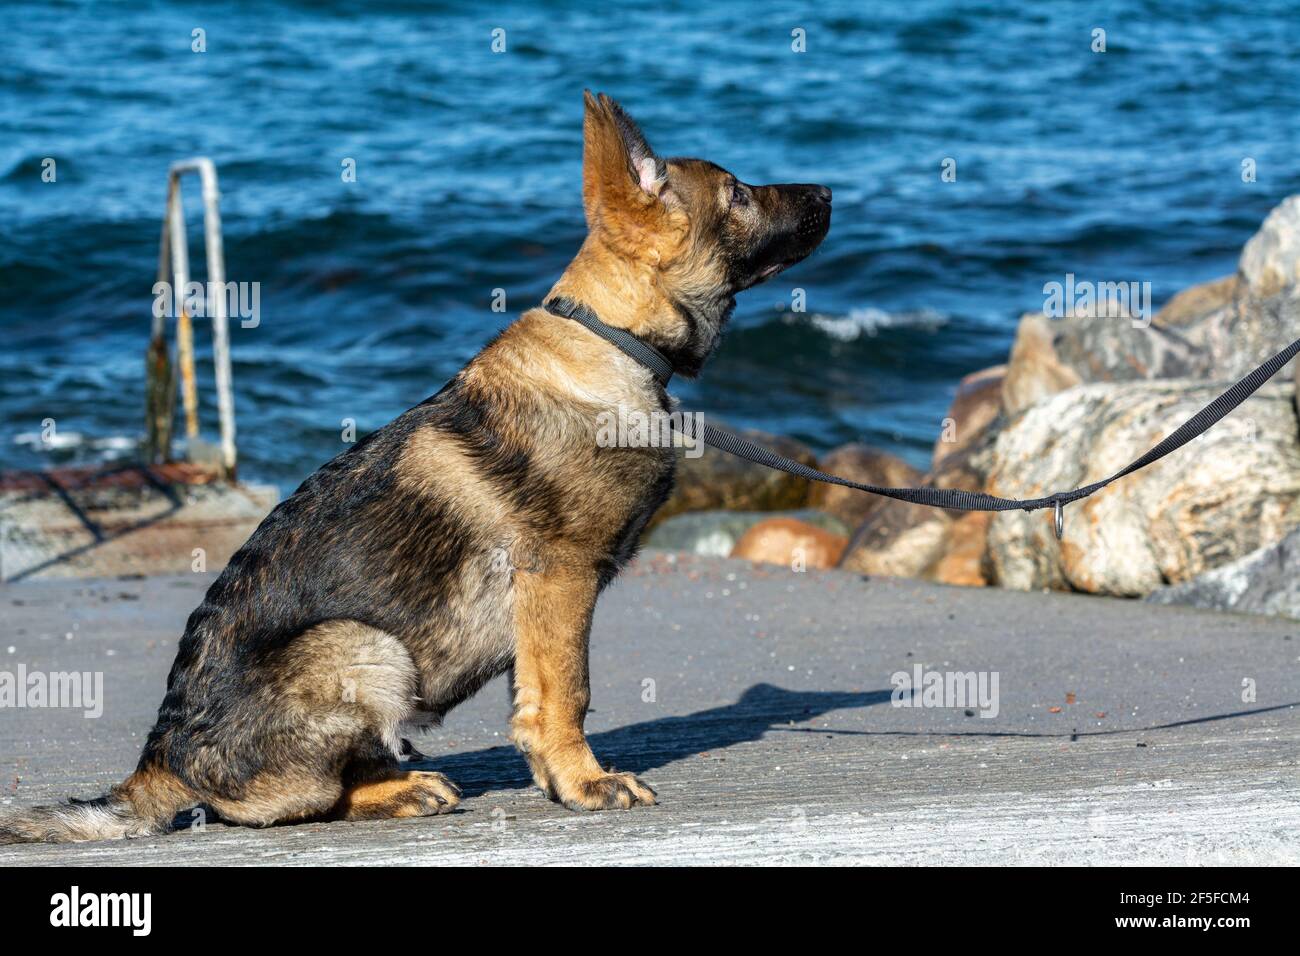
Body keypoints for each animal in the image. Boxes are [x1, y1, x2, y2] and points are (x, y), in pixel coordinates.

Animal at [2, 93, 832, 842]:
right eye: (739, 192)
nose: (828, 191)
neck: (611, 337)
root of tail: (159, 762)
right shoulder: (560, 577)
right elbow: (568, 691)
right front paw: (586, 782)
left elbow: (538, 695)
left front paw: (559, 778)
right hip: (363, 645)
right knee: (289, 804)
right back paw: (395, 793)